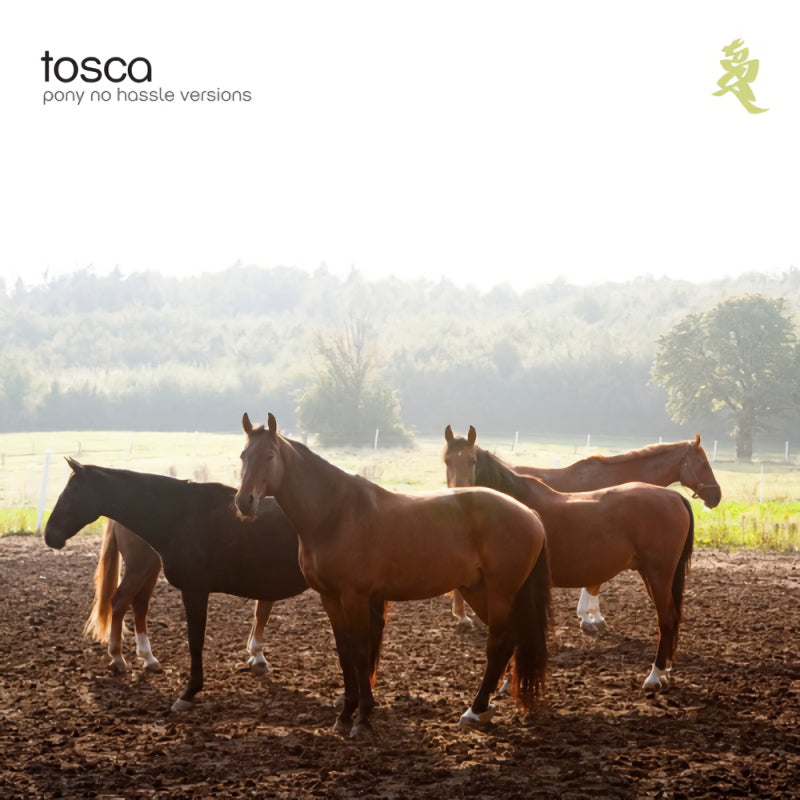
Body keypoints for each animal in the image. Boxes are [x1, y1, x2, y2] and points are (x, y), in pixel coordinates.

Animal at [85, 518, 274, 677]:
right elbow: (263, 613)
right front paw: (258, 658)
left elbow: (260, 613)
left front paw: (254, 655)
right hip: (140, 566)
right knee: (120, 602)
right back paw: (117, 659)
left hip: (151, 566)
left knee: (140, 604)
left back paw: (148, 659)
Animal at [234, 412, 552, 737]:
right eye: (244, 455)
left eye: (269, 456)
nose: (244, 502)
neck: (334, 513)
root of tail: (530, 514)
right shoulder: (330, 598)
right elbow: (344, 651)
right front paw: (345, 715)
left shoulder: (355, 597)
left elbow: (360, 651)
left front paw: (361, 717)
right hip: (478, 592)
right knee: (509, 640)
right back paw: (483, 708)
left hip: (500, 594)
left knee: (498, 644)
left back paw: (473, 711)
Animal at [443, 426, 694, 690]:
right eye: (447, 460)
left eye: (471, 461)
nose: (458, 492)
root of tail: (674, 497)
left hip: (658, 574)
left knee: (666, 619)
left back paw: (655, 675)